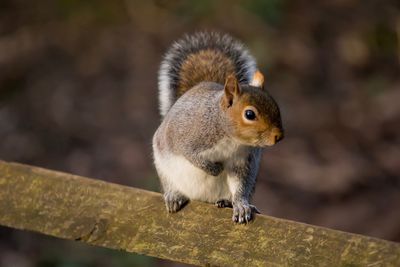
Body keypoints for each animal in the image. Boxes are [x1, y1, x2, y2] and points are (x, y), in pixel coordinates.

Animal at [152, 31, 282, 224]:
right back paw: (174, 195)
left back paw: (226, 202)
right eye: (249, 114)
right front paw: (215, 169)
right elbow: (191, 155)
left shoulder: (243, 161)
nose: (278, 136)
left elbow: (240, 185)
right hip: (164, 166)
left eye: (276, 106)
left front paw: (241, 206)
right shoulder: (190, 138)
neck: (231, 139)